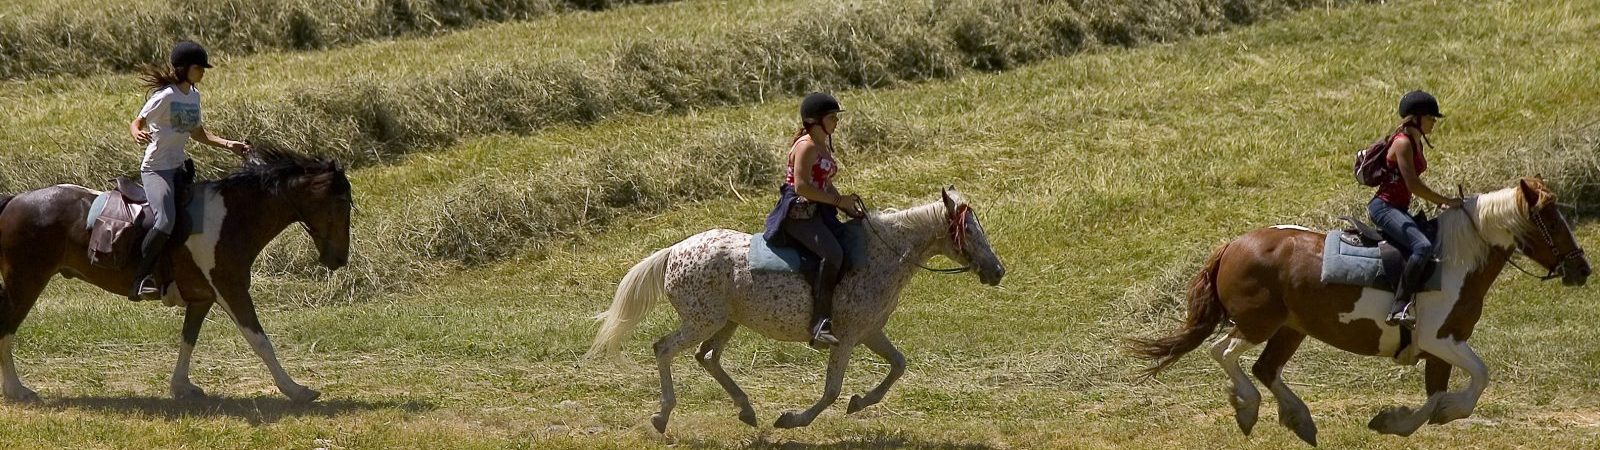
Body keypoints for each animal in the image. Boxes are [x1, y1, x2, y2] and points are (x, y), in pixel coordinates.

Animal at [0, 148, 352, 403]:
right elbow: (259, 340)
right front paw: (296, 390)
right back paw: (17, 391)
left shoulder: (202, 298)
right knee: (6, 329)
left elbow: (188, 339)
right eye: (341, 203)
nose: (338, 259)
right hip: (25, 283)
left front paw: (182, 387)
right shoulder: (231, 290)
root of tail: (14, 200)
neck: (232, 218)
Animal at [585, 188, 1005, 433]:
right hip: (702, 321)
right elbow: (832, 390)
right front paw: (793, 419)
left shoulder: (869, 332)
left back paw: (746, 411)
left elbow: (898, 365)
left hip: (726, 323)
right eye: (968, 230)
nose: (997, 271)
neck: (881, 255)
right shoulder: (846, 338)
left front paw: (860, 402)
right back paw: (662, 416)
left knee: (707, 358)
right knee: (664, 349)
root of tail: (674, 251)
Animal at [1130, 177, 1590, 445]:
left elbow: (1436, 395)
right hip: (1257, 323)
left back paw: (1299, 418)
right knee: (1224, 352)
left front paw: (1397, 421)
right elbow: (1478, 377)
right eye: (1552, 221)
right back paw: (1248, 408)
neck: (1453, 260)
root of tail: (1232, 246)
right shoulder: (1441, 339)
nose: (1582, 269)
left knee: (1265, 368)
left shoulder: (1440, 347)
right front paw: (1436, 414)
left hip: (1291, 328)